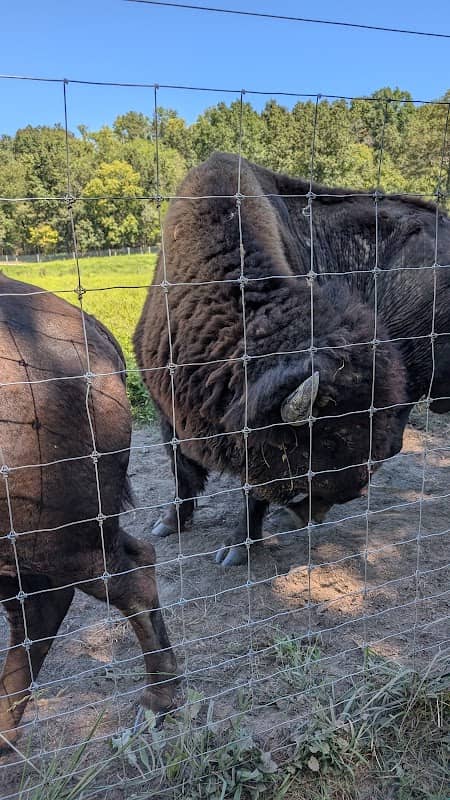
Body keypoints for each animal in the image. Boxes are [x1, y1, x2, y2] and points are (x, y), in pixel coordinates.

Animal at [134, 152, 450, 567]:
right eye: (330, 438)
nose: (353, 489)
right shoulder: (167, 407)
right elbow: (181, 470)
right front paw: (169, 523)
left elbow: (251, 490)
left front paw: (236, 549)